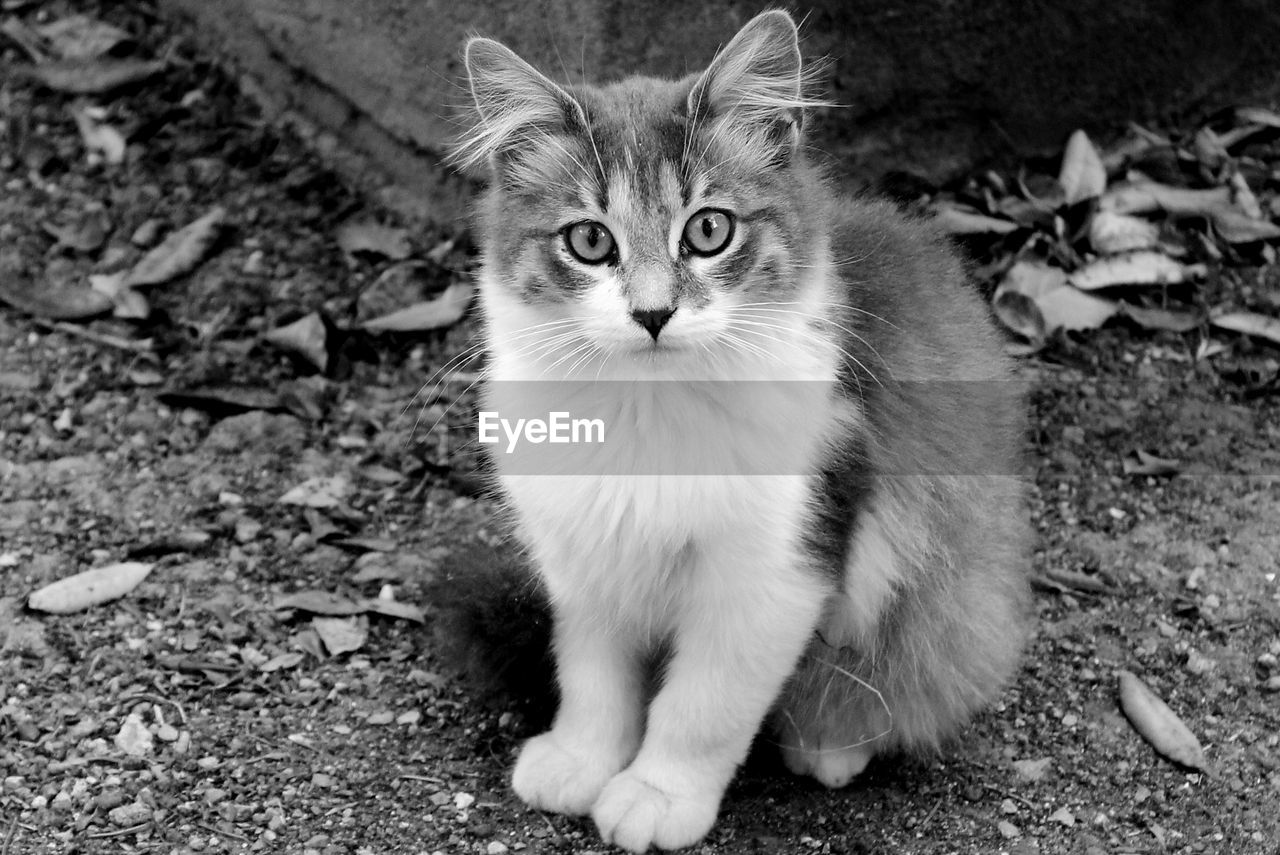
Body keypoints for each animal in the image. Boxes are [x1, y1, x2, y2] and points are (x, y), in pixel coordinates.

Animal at [450, 9, 1029, 849]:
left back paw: (830, 740)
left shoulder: (772, 573)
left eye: (708, 231)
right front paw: (582, 759)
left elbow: (701, 706)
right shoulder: (585, 559)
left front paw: (656, 795)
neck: (649, 416)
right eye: (590, 241)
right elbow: (592, 678)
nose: (653, 313)